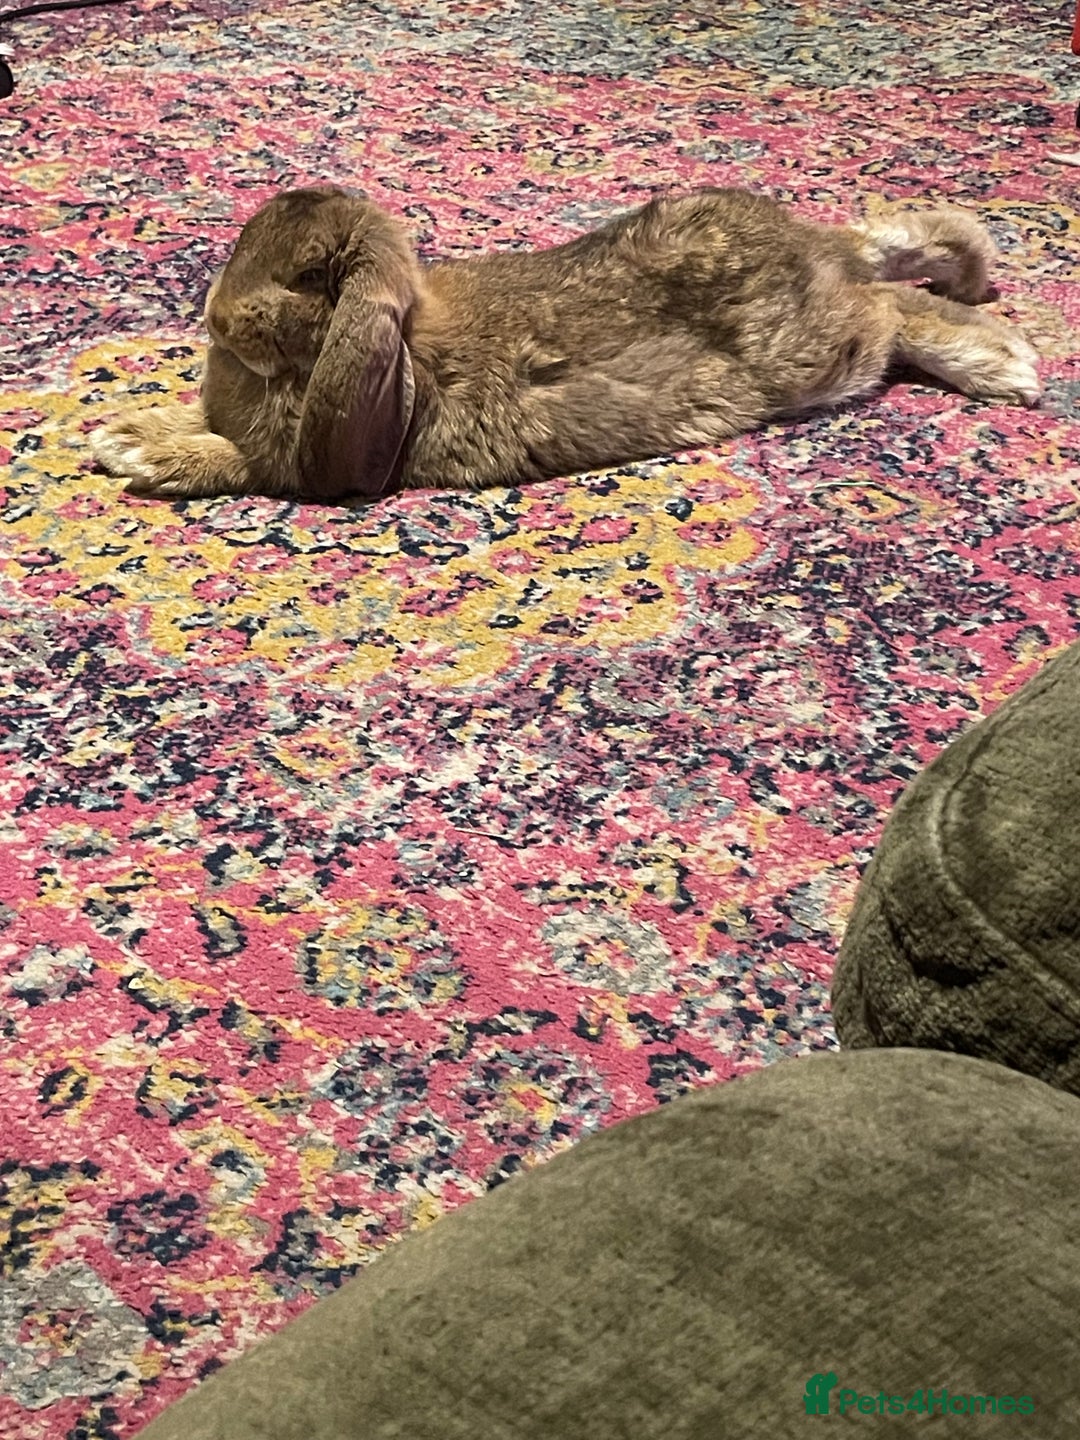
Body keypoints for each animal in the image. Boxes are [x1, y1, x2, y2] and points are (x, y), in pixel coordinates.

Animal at [91, 184, 1040, 504]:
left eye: (308, 275)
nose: (215, 315)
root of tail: (817, 259)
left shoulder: (308, 457)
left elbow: (245, 462)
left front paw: (138, 453)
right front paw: (121, 430)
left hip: (819, 352)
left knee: (890, 309)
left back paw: (1007, 366)